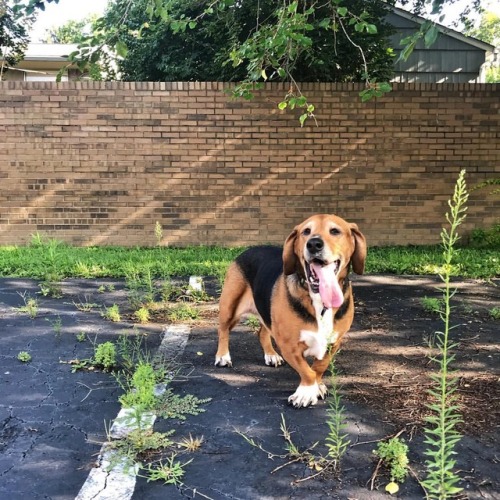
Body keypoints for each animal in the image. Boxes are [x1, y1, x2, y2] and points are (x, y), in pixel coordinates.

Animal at [213, 214, 366, 406]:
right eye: (306, 231)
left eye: (335, 231)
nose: (313, 244)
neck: (318, 298)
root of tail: (249, 250)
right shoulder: (289, 346)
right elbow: (307, 371)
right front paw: (306, 392)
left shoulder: (333, 342)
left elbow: (318, 368)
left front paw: (317, 386)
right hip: (230, 307)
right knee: (223, 331)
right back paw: (223, 356)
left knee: (262, 332)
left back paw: (271, 355)